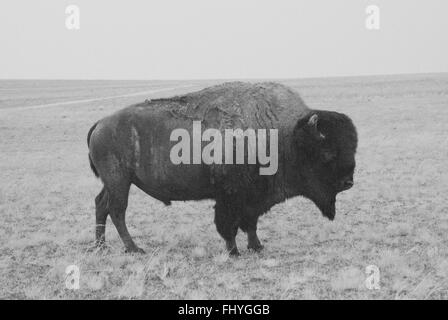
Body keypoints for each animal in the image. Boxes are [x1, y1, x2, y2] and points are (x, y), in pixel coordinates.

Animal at [87, 82, 358, 255]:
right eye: (327, 153)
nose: (349, 183)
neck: (286, 135)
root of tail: (101, 123)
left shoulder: (253, 200)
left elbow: (251, 223)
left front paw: (256, 246)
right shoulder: (232, 197)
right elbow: (229, 225)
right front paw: (234, 251)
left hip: (114, 183)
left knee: (101, 204)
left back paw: (101, 246)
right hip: (120, 181)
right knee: (117, 211)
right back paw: (134, 249)